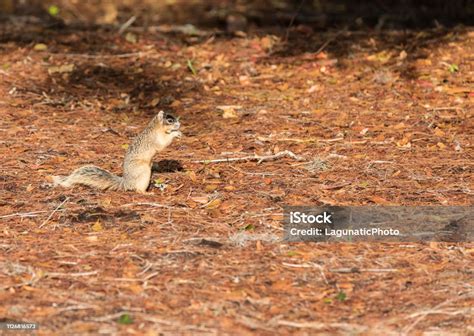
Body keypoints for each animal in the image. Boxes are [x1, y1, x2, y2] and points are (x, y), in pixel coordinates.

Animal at [51, 111, 181, 193]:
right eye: (170, 120)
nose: (179, 124)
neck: (156, 128)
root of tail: (126, 183)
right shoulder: (155, 139)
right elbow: (162, 144)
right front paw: (176, 134)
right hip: (143, 171)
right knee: (137, 189)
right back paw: (147, 193)